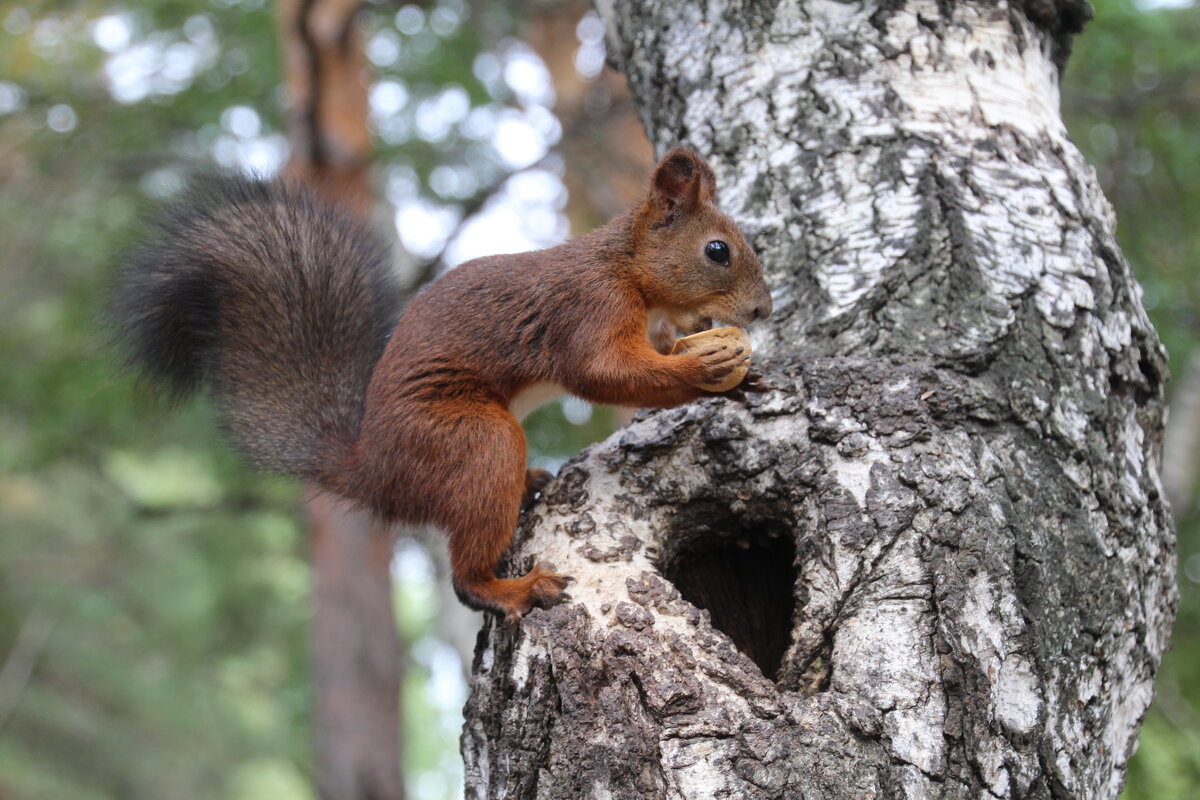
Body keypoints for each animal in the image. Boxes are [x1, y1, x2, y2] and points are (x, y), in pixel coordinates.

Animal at [110, 146, 768, 623]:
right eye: (717, 251)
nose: (762, 311)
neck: (627, 267)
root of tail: (372, 469)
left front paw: (737, 380)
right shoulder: (588, 308)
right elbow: (604, 373)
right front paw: (703, 372)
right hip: (470, 441)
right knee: (464, 576)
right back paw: (514, 589)